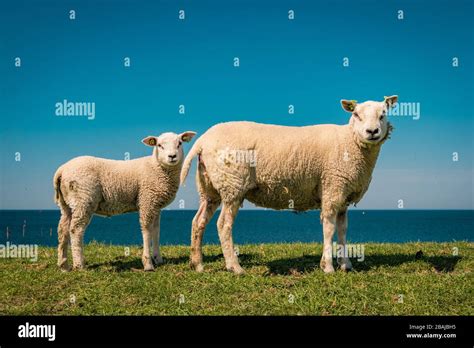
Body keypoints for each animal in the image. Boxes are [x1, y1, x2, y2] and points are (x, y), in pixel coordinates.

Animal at [53, 130, 196, 270]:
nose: (172, 156)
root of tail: (62, 170)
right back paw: (79, 265)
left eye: (179, 143)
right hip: (83, 199)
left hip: (66, 203)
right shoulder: (147, 200)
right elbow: (147, 230)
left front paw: (158, 259)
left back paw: (63, 265)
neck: (155, 166)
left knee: (62, 229)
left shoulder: (155, 204)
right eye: (159, 145)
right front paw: (148, 263)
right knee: (76, 230)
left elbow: (156, 230)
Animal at [180, 96, 398, 274]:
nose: (372, 131)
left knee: (198, 221)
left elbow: (343, 229)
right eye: (356, 115)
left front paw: (345, 264)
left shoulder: (343, 193)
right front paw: (327, 266)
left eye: (383, 115)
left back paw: (197, 264)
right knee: (223, 225)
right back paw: (235, 267)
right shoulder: (332, 186)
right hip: (232, 184)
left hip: (210, 187)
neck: (349, 141)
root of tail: (202, 140)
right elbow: (329, 228)